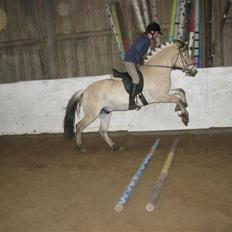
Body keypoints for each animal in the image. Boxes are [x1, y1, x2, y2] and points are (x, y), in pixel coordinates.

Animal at [63, 40, 198, 152]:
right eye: (186, 55)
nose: (194, 71)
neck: (156, 71)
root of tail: (85, 91)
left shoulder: (165, 92)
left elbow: (180, 91)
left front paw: (182, 106)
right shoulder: (160, 96)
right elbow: (177, 98)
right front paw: (185, 117)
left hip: (105, 112)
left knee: (102, 130)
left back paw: (115, 146)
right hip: (92, 114)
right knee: (79, 126)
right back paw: (80, 147)